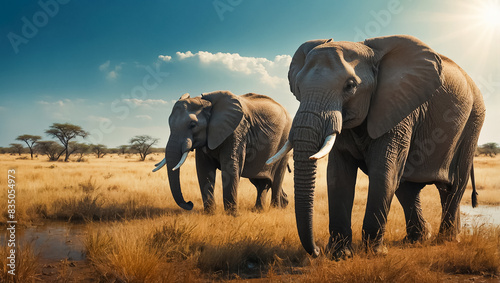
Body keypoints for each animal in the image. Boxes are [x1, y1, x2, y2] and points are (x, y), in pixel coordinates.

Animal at [154, 91, 292, 215]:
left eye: (193, 125)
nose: (189, 203)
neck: (208, 104)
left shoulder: (236, 131)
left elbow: (230, 166)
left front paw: (232, 216)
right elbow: (203, 168)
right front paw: (210, 214)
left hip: (284, 141)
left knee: (276, 179)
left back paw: (276, 209)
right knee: (261, 181)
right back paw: (261, 210)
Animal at [270, 34, 484, 258]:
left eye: (350, 86)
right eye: (298, 87)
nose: (317, 250)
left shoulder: (399, 107)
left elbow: (382, 172)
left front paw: (374, 253)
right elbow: (338, 176)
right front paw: (340, 255)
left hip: (473, 120)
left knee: (454, 185)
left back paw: (447, 240)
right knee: (408, 187)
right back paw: (418, 239)